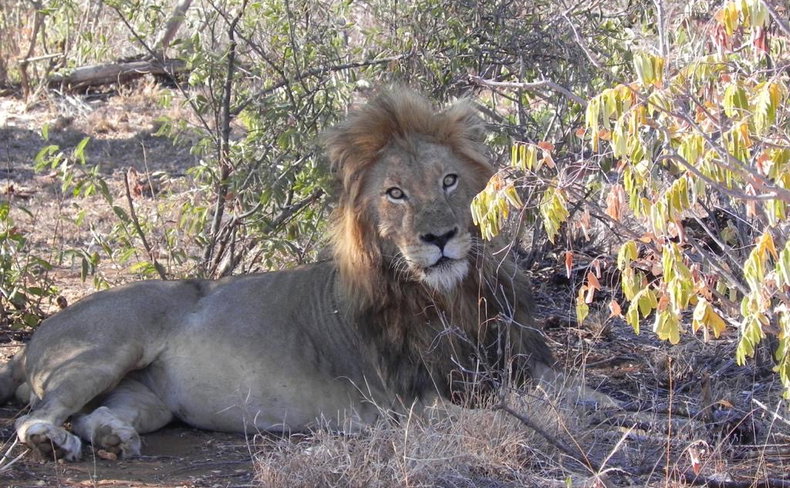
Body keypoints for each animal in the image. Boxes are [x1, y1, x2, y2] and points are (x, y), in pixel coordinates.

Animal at [0, 88, 555, 461]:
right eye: (395, 193)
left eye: (449, 180)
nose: (439, 237)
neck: (448, 297)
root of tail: (31, 341)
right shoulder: (411, 404)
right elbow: (507, 418)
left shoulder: (521, 363)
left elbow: (560, 393)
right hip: (105, 351)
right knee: (34, 417)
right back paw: (53, 444)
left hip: (145, 398)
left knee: (95, 414)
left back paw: (114, 439)